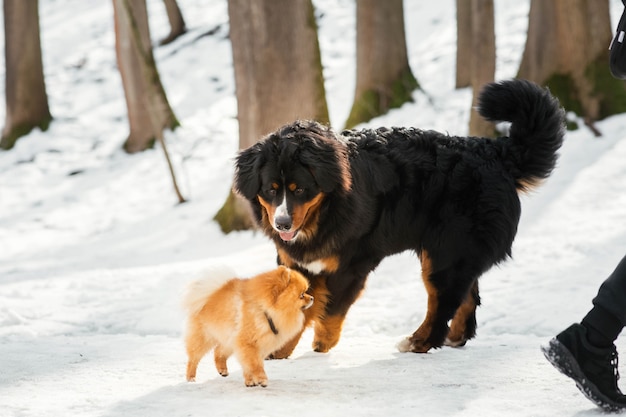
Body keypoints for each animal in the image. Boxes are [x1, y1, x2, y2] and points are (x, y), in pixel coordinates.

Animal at [183, 264, 314, 386]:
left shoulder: (257, 345)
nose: (312, 298)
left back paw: (222, 370)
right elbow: (255, 364)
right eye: (302, 295)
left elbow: (249, 365)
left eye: (305, 292)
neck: (266, 310)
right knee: (193, 358)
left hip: (229, 339)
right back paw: (191, 378)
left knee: (218, 351)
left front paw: (250, 381)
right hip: (204, 338)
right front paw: (261, 379)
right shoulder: (248, 343)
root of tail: (207, 295)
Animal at [232, 79, 564, 356]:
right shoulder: (294, 263)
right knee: (466, 296)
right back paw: (454, 337)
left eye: (299, 189)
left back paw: (419, 341)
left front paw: (321, 343)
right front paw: (282, 348)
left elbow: (329, 310)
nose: (282, 223)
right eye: (271, 189)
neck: (324, 214)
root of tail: (494, 153)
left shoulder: (351, 264)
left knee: (443, 302)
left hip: (445, 253)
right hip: (454, 252)